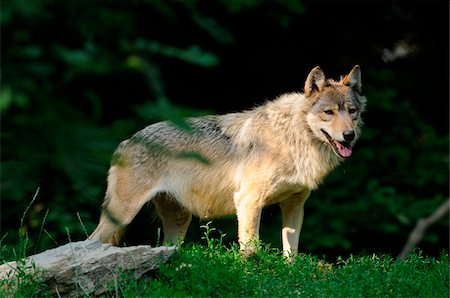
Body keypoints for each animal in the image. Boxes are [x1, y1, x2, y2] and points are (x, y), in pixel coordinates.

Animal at [88, 65, 366, 256]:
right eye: (328, 113)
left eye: (352, 112)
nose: (349, 135)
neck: (295, 139)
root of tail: (127, 141)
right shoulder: (248, 201)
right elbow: (251, 251)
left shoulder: (294, 205)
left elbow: (292, 254)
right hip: (121, 216)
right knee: (91, 240)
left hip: (178, 224)